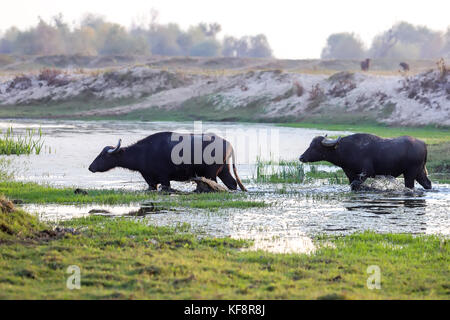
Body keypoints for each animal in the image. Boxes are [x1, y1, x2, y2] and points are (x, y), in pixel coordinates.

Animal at [89, 131, 246, 191]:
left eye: (103, 156)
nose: (91, 167)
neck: (143, 153)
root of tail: (228, 144)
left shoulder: (164, 178)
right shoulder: (150, 180)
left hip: (211, 173)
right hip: (224, 170)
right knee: (232, 183)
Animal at [298, 134, 432, 191]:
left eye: (315, 147)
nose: (301, 157)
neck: (346, 149)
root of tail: (423, 144)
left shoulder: (366, 173)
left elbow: (356, 185)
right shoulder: (350, 174)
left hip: (410, 173)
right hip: (419, 172)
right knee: (427, 184)